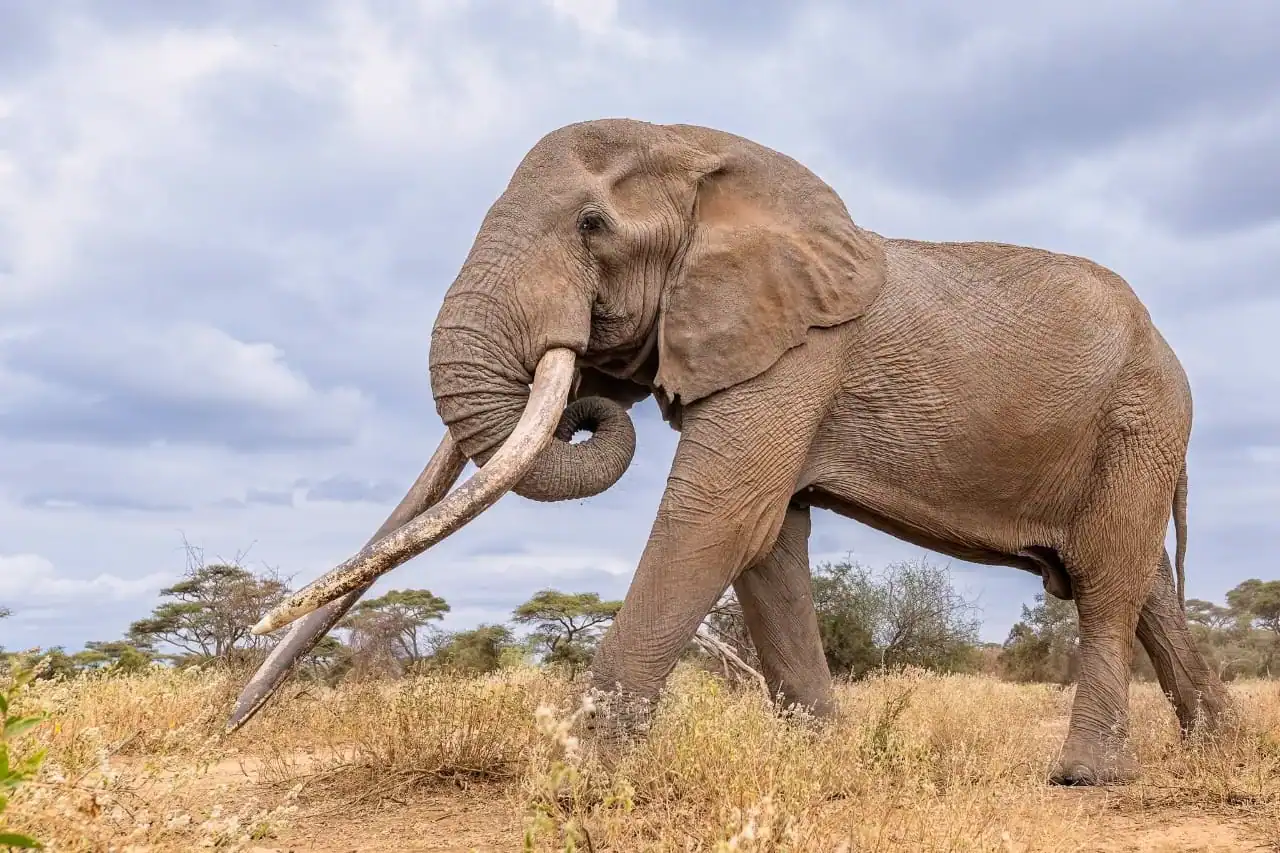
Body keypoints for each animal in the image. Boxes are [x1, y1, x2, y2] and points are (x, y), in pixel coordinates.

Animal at [230, 118, 1232, 786]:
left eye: (591, 226)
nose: (225, 723)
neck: (701, 151)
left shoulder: (796, 353)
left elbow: (718, 519)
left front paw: (579, 777)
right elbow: (767, 545)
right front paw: (827, 763)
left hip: (1141, 417)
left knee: (1106, 580)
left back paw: (1089, 777)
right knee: (1143, 583)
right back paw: (1222, 744)